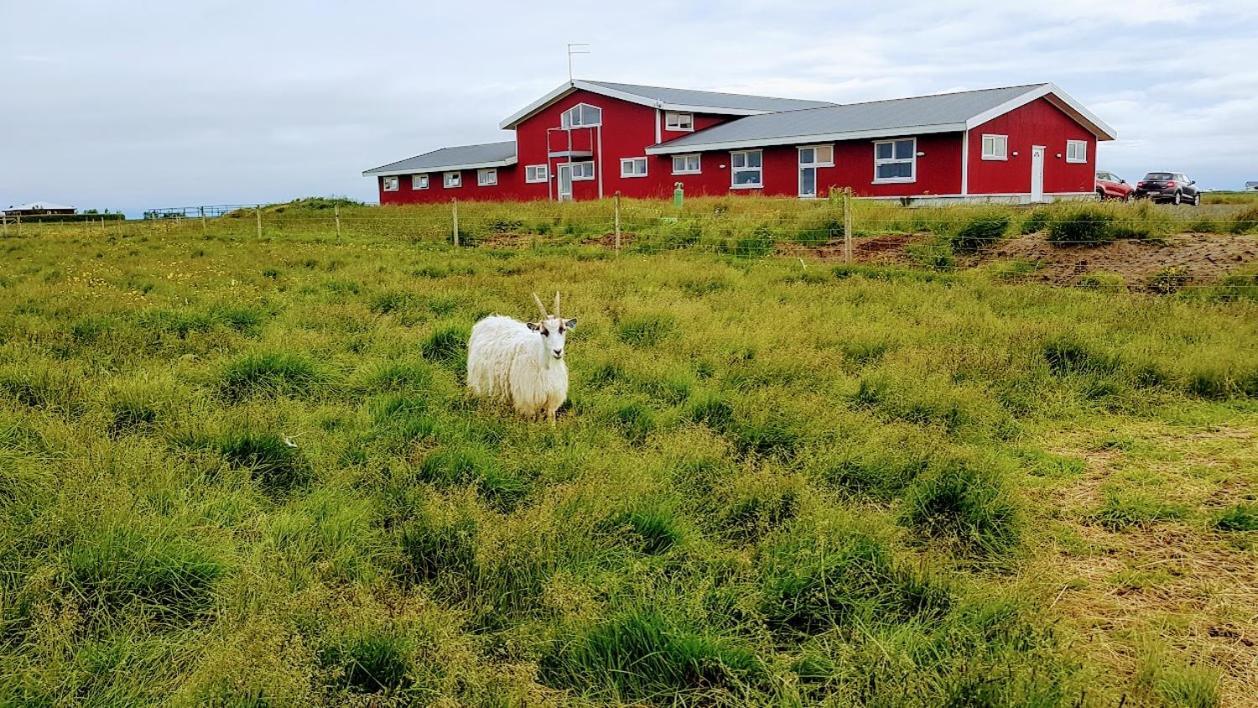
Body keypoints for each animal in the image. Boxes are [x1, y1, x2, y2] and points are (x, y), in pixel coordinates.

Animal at [467, 290, 576, 425]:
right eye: (543, 332)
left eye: (562, 329)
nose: (557, 351)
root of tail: (490, 319)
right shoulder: (528, 402)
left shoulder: (551, 402)